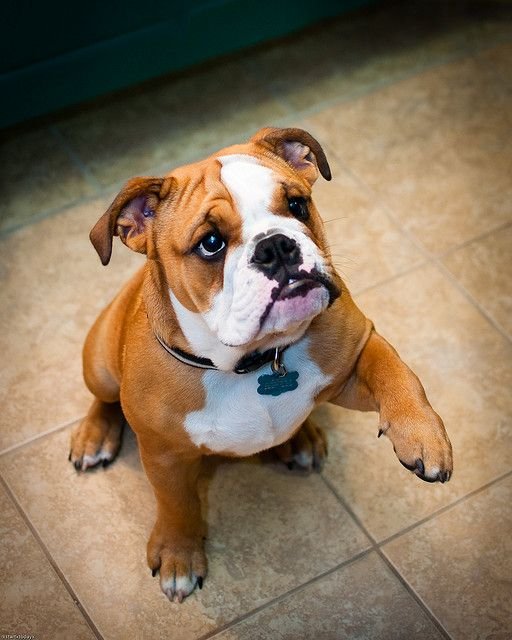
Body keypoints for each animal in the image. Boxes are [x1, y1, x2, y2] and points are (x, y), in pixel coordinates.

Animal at [70, 127, 454, 604]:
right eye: (210, 244)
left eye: (297, 205)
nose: (275, 245)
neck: (254, 359)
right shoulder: (163, 454)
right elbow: (177, 505)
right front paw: (180, 555)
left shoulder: (353, 354)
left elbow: (396, 371)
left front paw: (423, 435)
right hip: (101, 361)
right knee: (103, 398)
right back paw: (94, 436)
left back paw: (300, 438)